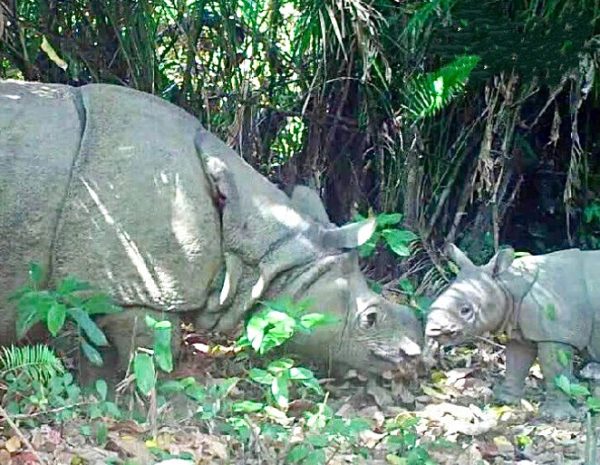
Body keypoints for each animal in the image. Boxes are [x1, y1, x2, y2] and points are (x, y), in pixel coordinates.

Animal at [424, 245, 600, 418]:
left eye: (465, 310)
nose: (433, 330)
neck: (506, 284)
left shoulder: (556, 335)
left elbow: (555, 371)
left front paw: (555, 416)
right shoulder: (521, 329)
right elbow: (516, 363)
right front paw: (505, 401)